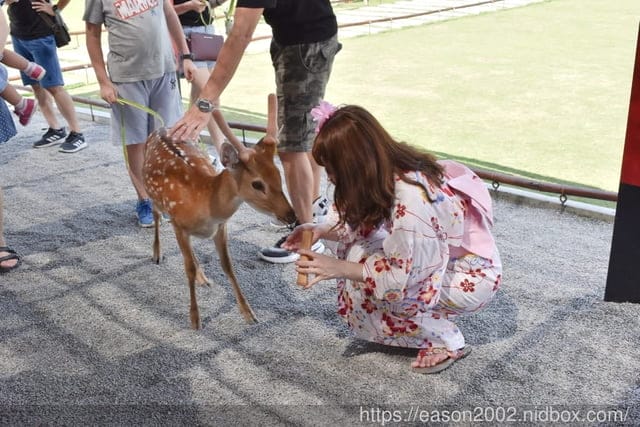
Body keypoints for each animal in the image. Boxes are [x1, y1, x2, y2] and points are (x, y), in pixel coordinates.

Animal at [142, 94, 296, 329]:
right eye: (257, 184)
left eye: (279, 176)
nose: (291, 215)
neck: (205, 202)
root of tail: (159, 128)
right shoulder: (178, 224)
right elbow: (187, 268)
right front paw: (195, 318)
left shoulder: (221, 227)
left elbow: (228, 266)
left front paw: (248, 313)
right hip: (155, 198)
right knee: (157, 215)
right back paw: (157, 253)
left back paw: (203, 278)